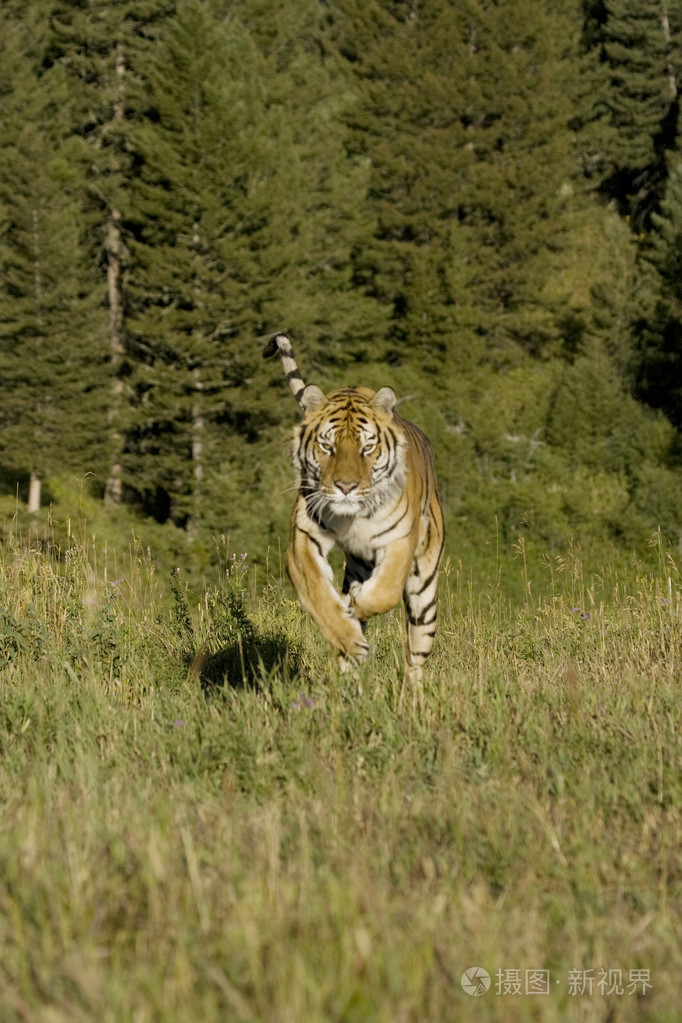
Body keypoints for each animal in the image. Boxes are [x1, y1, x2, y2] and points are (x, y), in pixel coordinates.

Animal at [263, 332, 444, 681]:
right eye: (327, 446)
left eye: (367, 447)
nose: (345, 487)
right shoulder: (302, 536)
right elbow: (318, 592)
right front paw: (347, 633)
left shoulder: (401, 540)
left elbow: (385, 591)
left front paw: (356, 604)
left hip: (425, 594)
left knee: (415, 658)